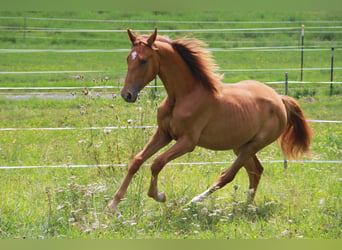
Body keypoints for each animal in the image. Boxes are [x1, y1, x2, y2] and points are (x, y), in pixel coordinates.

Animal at [106, 28, 310, 213]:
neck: (183, 96)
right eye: (128, 58)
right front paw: (112, 206)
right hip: (241, 145)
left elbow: (157, 162)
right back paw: (247, 207)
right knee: (256, 171)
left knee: (228, 175)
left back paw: (195, 201)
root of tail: (280, 99)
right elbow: (137, 161)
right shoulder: (163, 134)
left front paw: (159, 196)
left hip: (254, 144)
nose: (127, 94)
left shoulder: (187, 142)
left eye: (143, 60)